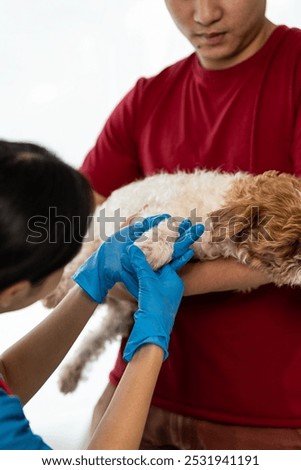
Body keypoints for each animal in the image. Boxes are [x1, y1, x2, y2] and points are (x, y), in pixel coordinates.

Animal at [43, 169, 300, 392]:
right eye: (293, 244)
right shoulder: (161, 212)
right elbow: (166, 227)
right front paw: (150, 252)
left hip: (121, 314)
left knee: (94, 338)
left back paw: (70, 374)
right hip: (94, 240)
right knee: (79, 264)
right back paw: (56, 293)